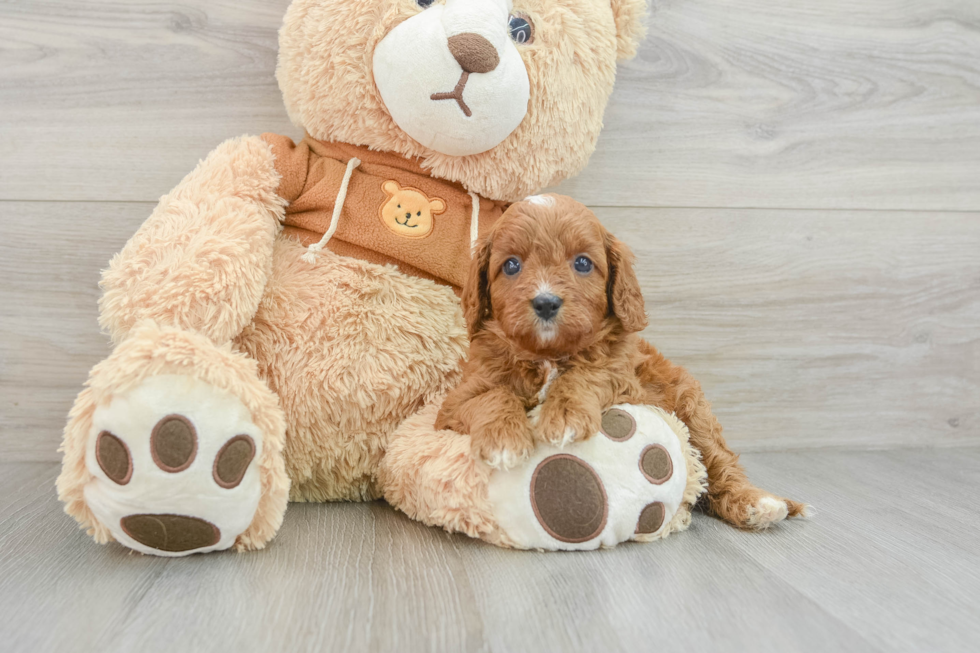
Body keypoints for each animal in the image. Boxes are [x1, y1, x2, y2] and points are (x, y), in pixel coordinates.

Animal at [436, 195, 804, 528]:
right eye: (511, 265)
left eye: (583, 263)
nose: (545, 302)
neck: (547, 355)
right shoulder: (453, 404)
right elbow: (492, 396)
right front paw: (503, 439)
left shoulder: (626, 381)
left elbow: (588, 375)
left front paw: (564, 415)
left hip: (693, 409)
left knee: (720, 462)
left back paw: (757, 503)